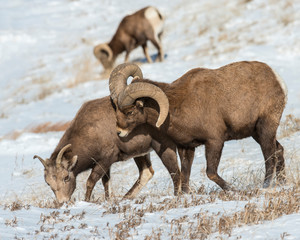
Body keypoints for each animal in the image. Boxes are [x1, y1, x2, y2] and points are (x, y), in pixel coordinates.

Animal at [34, 96, 182, 204]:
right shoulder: (106, 165)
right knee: (146, 173)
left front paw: (87, 201)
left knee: (175, 172)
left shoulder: (105, 160)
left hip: (163, 149)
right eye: (48, 183)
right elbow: (106, 183)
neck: (90, 131)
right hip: (140, 154)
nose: (62, 202)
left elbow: (91, 181)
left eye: (66, 177)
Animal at [109, 62, 288, 191]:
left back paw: (265, 186)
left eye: (130, 111)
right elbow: (185, 177)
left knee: (269, 157)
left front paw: (233, 189)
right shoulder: (186, 147)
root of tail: (277, 79)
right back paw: (282, 183)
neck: (177, 107)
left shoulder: (214, 142)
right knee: (278, 150)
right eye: (116, 109)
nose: (119, 132)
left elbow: (211, 173)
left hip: (265, 129)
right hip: (256, 133)